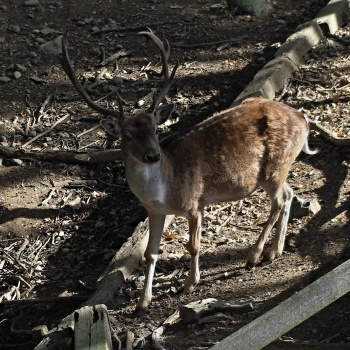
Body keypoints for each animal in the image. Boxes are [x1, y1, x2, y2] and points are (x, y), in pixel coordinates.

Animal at [59, 30, 318, 312]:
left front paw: (190, 283)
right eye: (127, 136)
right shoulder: (154, 211)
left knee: (279, 201)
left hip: (274, 168)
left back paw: (254, 255)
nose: (153, 155)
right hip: (277, 170)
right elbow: (150, 253)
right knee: (289, 194)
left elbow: (193, 245)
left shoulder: (196, 202)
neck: (165, 189)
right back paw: (275, 251)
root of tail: (304, 120)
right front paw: (143, 301)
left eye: (155, 129)